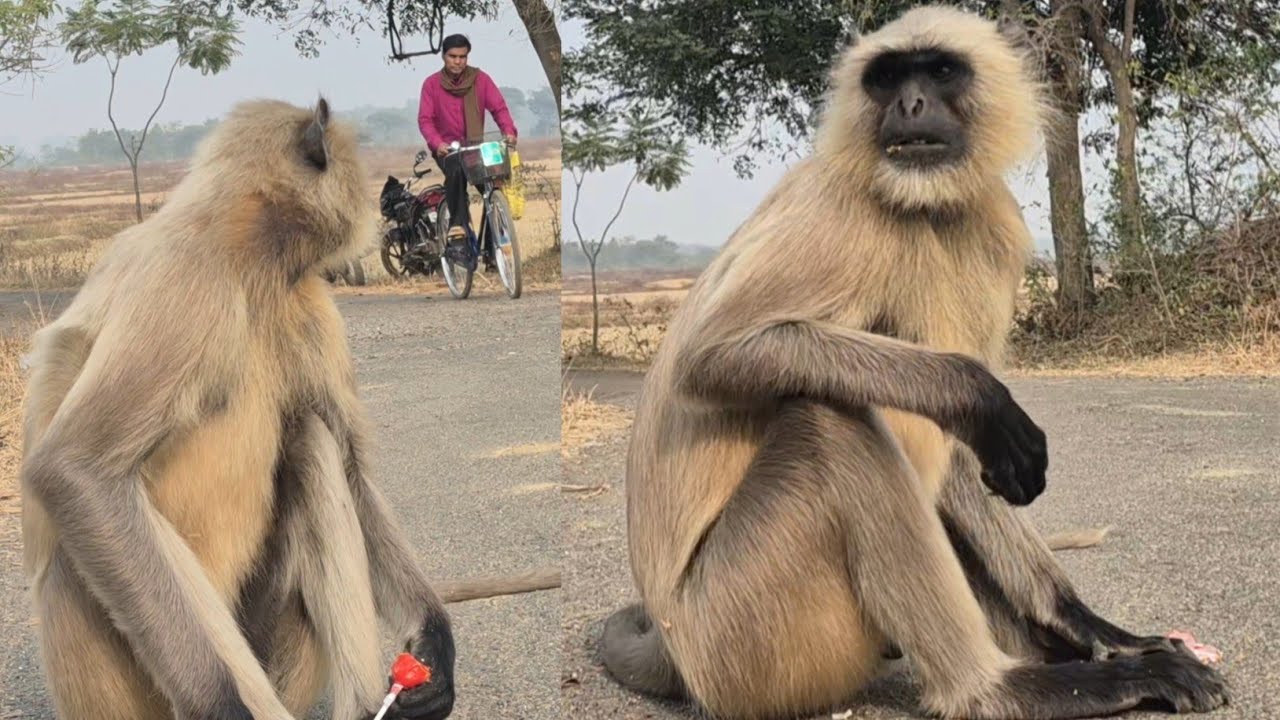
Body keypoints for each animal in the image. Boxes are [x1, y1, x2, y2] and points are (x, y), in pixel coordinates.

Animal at [17, 97, 553, 720]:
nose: (372, 190)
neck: (251, 255)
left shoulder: (304, 298)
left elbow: (351, 470)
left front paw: (432, 642)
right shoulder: (188, 276)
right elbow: (75, 470)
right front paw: (222, 707)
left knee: (311, 441)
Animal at [597, 7, 1228, 720]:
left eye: (941, 70)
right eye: (889, 77)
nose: (910, 103)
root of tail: (675, 650)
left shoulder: (991, 221)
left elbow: (963, 456)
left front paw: (1090, 626)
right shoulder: (842, 201)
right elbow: (707, 354)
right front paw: (979, 394)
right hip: (743, 638)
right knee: (829, 418)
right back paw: (1000, 689)